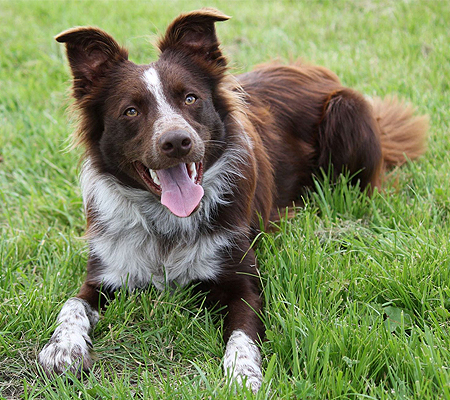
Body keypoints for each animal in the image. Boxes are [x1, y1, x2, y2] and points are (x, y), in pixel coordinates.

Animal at [37, 7, 428, 392]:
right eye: (131, 111)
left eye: (190, 98)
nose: (177, 142)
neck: (166, 225)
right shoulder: (105, 273)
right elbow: (71, 304)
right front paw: (62, 350)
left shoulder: (243, 279)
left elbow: (242, 334)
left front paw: (243, 374)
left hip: (346, 110)